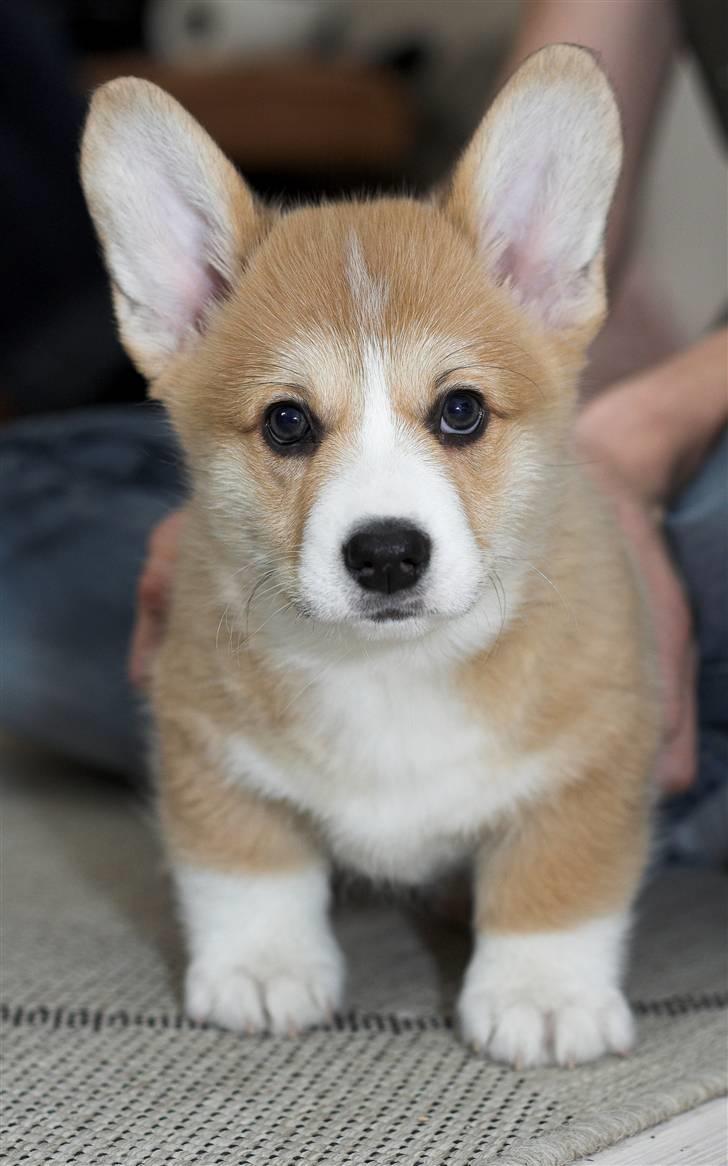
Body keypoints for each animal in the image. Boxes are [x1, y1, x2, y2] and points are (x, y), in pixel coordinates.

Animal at [81, 45, 658, 1068]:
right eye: (287, 422)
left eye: (461, 410)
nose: (387, 555)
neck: (390, 670)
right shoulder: (203, 738)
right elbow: (246, 868)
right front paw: (263, 969)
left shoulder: (594, 755)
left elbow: (559, 879)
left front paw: (543, 995)